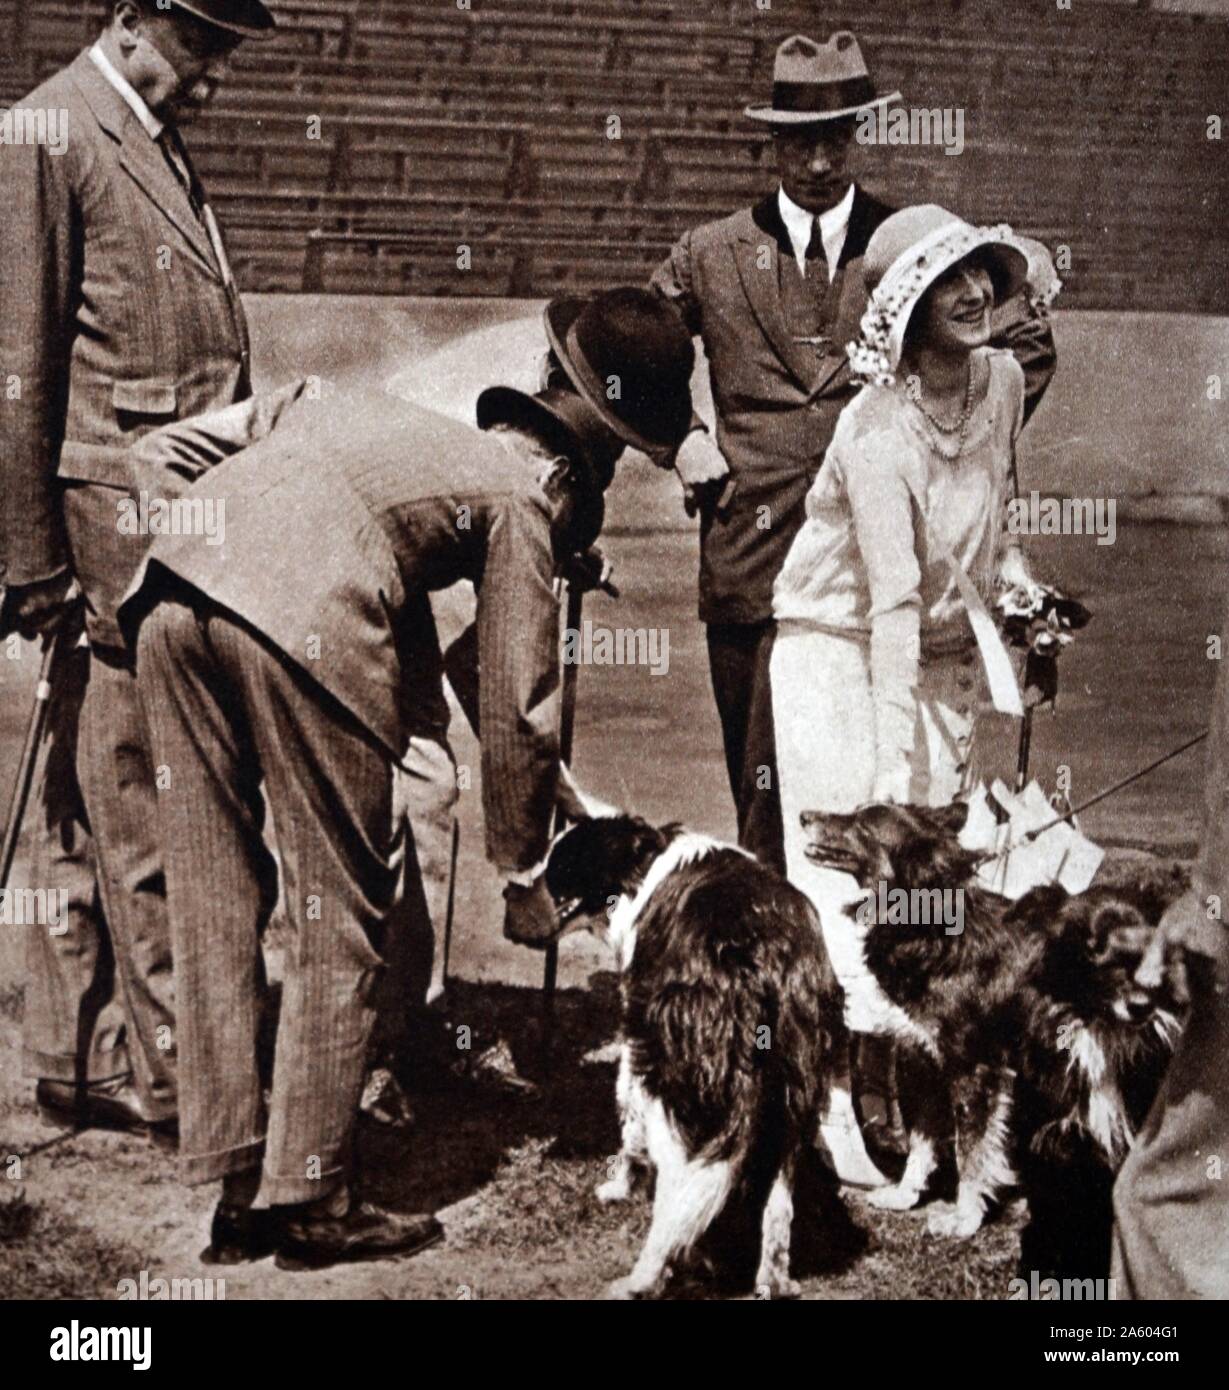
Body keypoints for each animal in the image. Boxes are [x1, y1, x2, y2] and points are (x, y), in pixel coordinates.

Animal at [542, 817, 861, 1295]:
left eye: (563, 860)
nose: (529, 880)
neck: (645, 863)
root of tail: (759, 958)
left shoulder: (637, 1038)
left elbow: (628, 1122)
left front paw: (620, 1186)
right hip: (792, 1100)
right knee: (777, 1206)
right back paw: (772, 1281)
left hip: (681, 1094)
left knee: (678, 1199)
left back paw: (644, 1277)